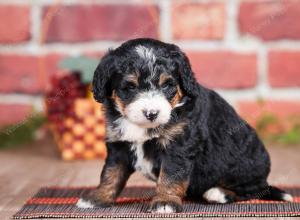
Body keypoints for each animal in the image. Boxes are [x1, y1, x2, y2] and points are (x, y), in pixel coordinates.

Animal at [76, 38, 292, 213]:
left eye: (166, 85)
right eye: (130, 87)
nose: (151, 113)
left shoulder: (178, 145)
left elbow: (171, 176)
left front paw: (165, 202)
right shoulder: (119, 146)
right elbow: (110, 174)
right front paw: (97, 198)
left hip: (246, 166)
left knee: (251, 190)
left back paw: (219, 193)